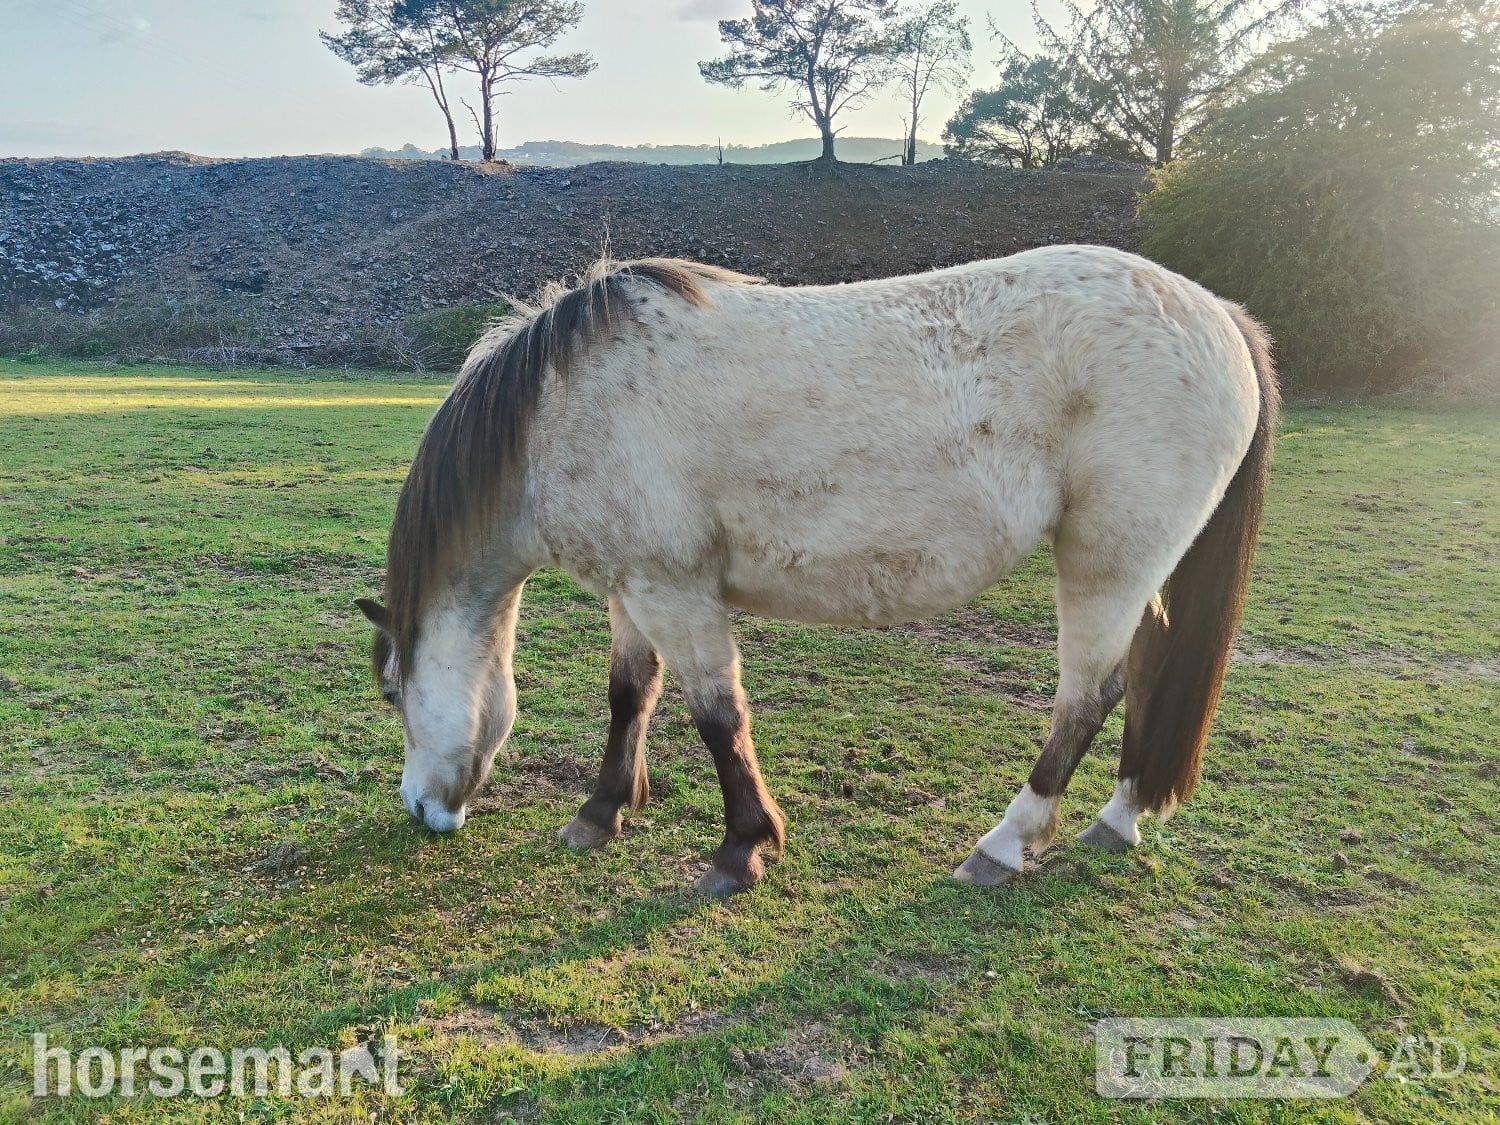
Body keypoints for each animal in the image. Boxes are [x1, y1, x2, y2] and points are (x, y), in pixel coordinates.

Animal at [356, 245, 1278, 897]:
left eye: (394, 693)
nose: (419, 809)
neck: (564, 406)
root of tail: (1220, 315)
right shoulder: (634, 588)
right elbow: (631, 696)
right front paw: (600, 812)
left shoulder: (675, 592)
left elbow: (718, 715)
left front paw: (739, 849)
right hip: (1136, 570)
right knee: (1144, 674)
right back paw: (1120, 816)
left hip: (1104, 566)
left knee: (1088, 697)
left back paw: (1005, 843)